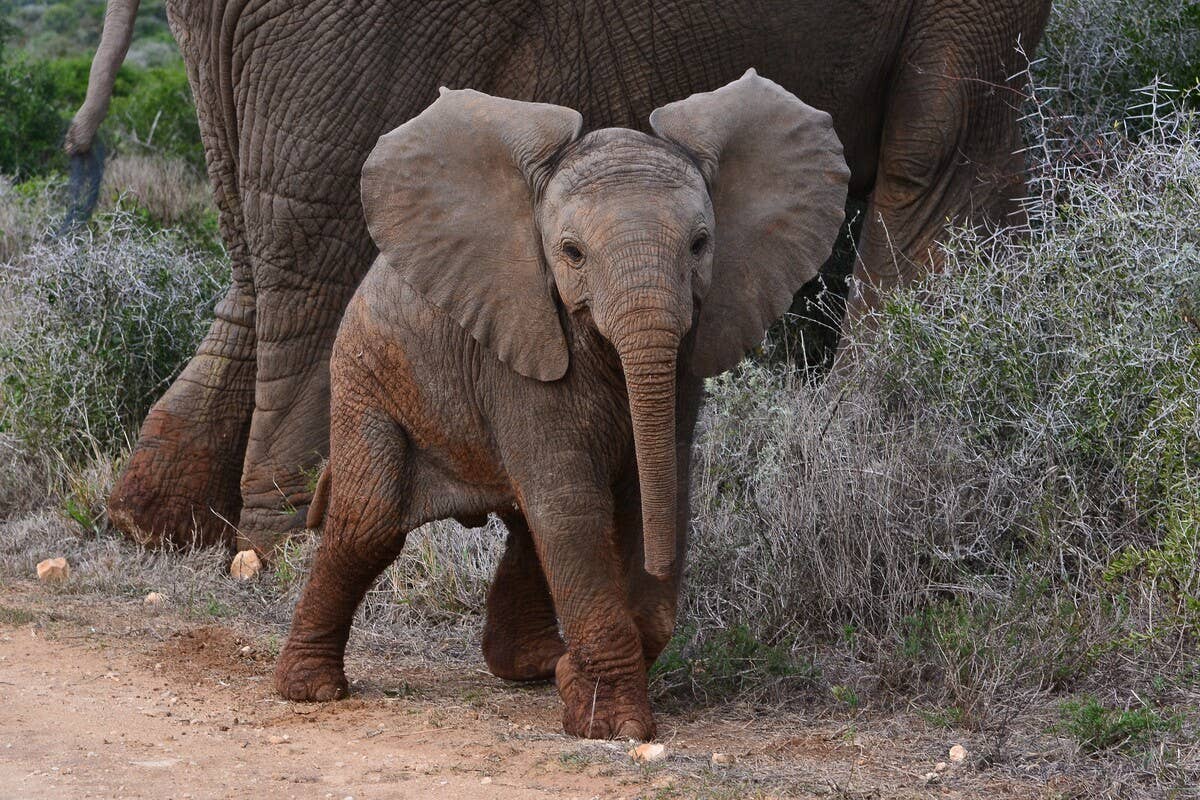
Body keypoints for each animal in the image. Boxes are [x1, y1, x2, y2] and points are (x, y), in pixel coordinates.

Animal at [67, 0, 1052, 555]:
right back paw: (288, 547)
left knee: (258, 241)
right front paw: (894, 460)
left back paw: (160, 525)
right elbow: (950, 153)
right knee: (315, 240)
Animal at [274, 72, 850, 740]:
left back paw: (531, 667)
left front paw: (580, 679)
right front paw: (614, 725)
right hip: (366, 371)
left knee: (523, 524)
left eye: (702, 245)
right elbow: (574, 503)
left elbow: (652, 490)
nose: (659, 570)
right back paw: (311, 691)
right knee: (370, 524)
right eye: (571, 252)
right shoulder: (518, 349)